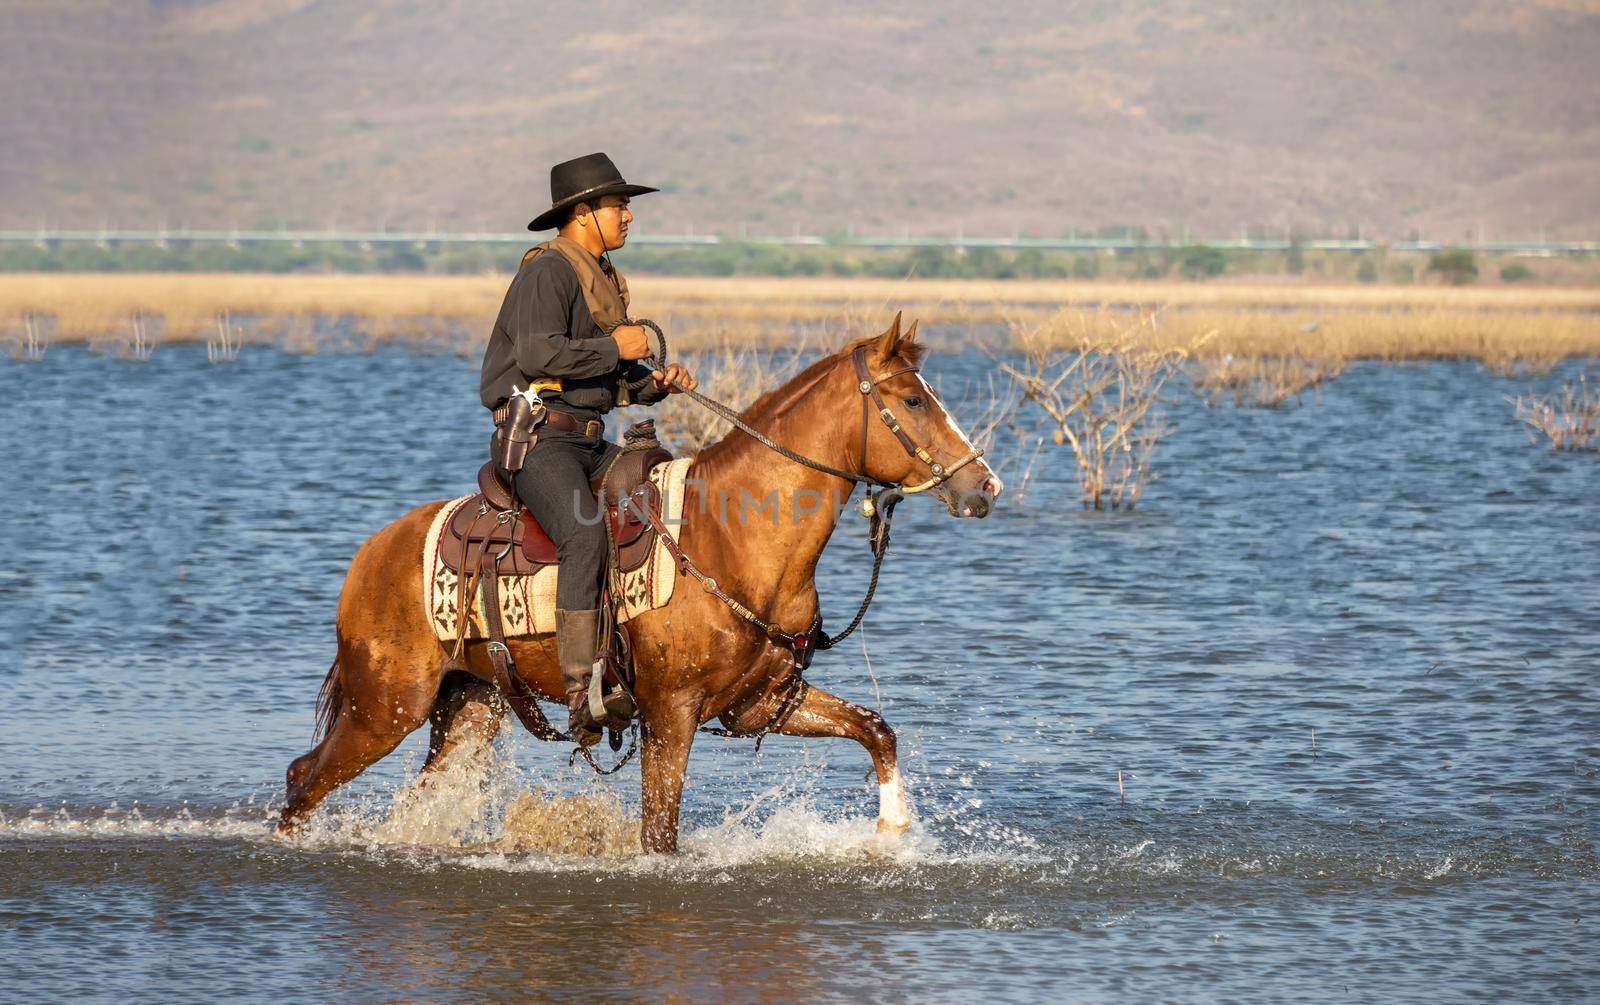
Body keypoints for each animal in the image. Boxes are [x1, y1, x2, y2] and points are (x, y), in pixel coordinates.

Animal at [275, 312, 998, 844]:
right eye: (913, 399)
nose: (985, 486)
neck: (731, 539)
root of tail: (370, 555)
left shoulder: (763, 702)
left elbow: (876, 727)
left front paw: (893, 830)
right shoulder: (670, 715)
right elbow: (659, 835)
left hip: (467, 708)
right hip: (384, 708)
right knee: (303, 777)